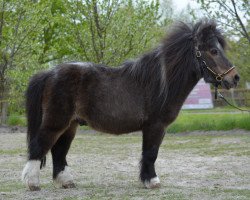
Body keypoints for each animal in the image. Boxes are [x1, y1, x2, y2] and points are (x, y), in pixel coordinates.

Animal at [22, 19, 240, 191]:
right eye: (213, 51)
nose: (235, 78)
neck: (160, 82)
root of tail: (50, 73)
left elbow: (148, 153)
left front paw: (147, 180)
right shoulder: (155, 126)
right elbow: (151, 153)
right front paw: (152, 181)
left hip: (70, 125)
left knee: (59, 151)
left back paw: (66, 182)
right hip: (56, 123)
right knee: (39, 146)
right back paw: (32, 183)